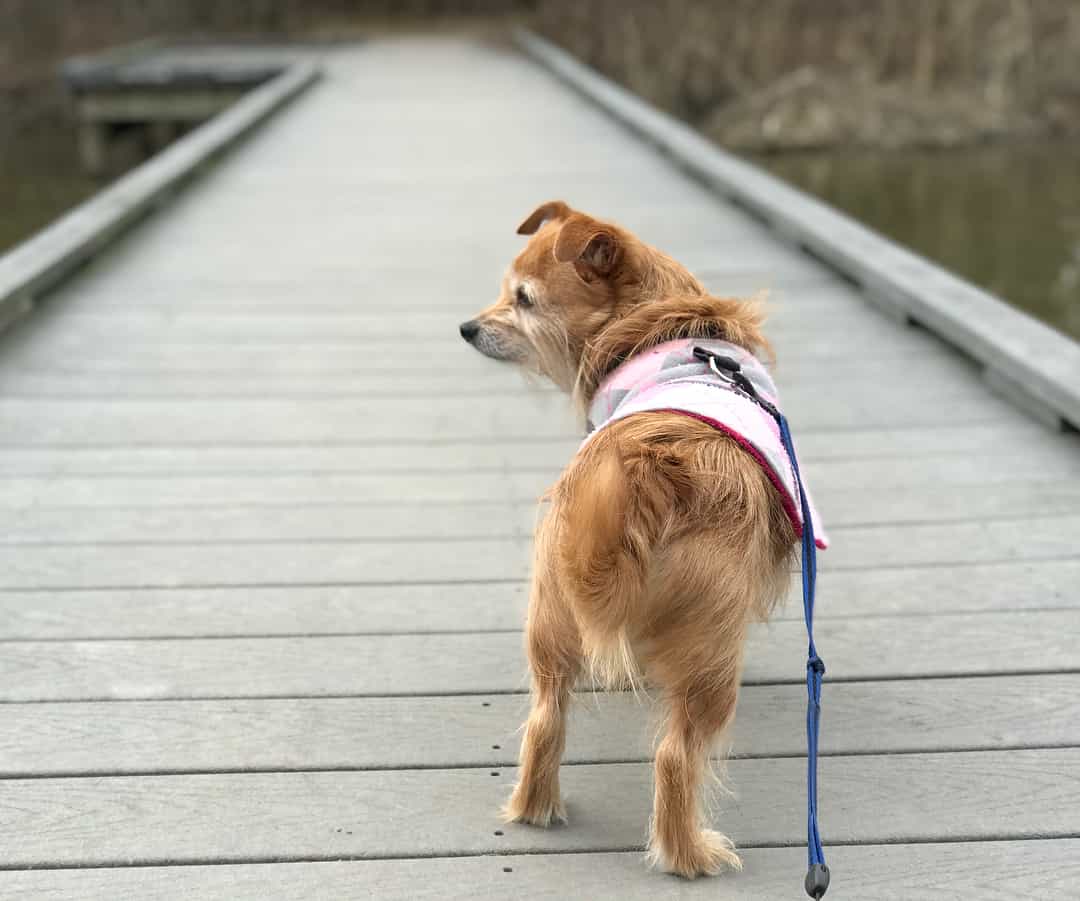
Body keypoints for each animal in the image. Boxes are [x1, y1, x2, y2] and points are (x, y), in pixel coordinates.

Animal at [457, 202, 812, 872]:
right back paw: (690, 855)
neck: (654, 321)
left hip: (550, 613)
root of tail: (650, 471)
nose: (466, 328)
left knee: (545, 722)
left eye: (522, 299)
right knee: (676, 756)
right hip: (712, 656)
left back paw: (536, 808)